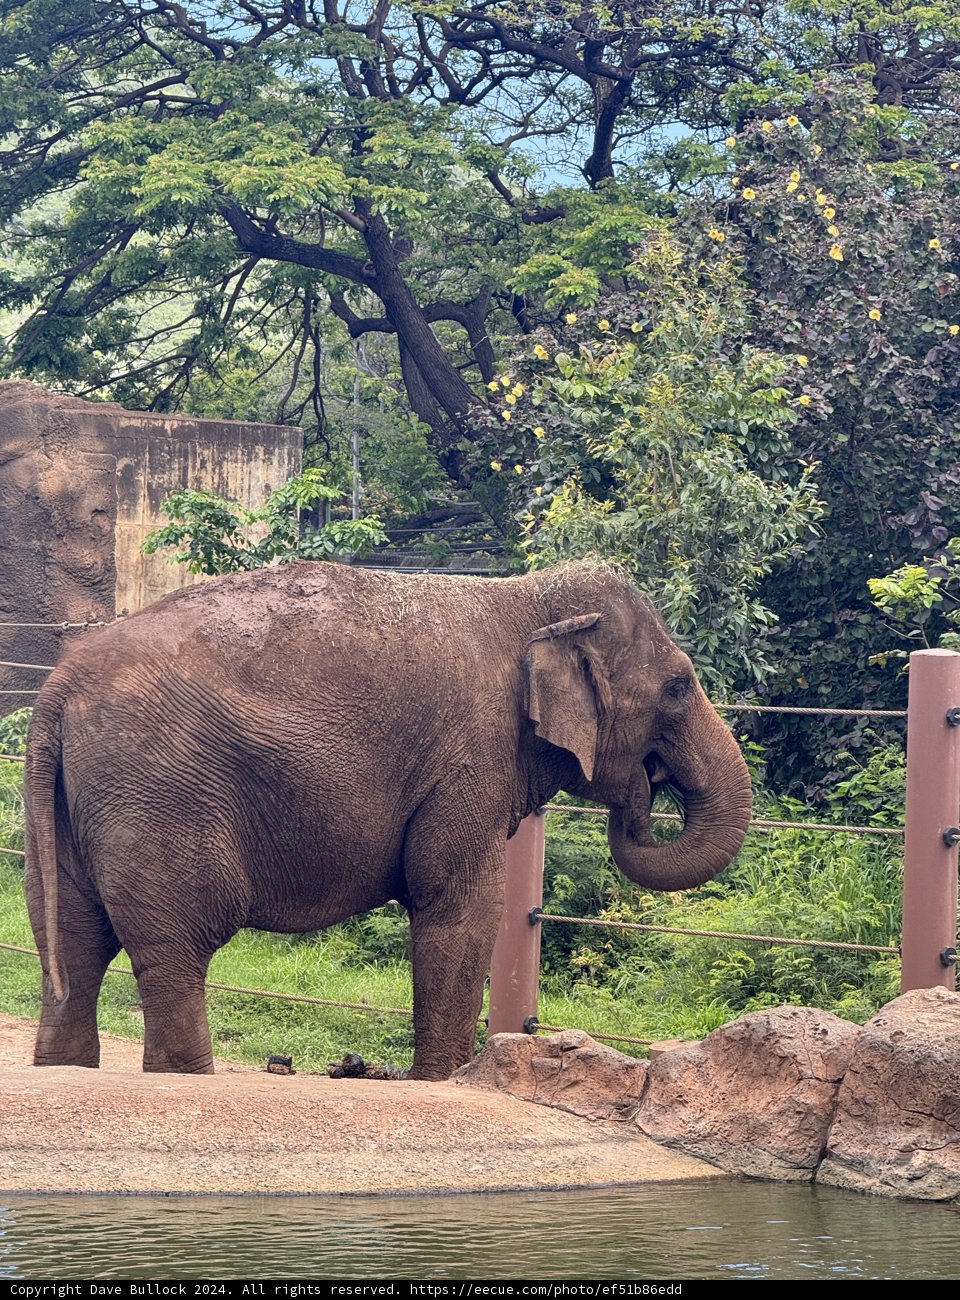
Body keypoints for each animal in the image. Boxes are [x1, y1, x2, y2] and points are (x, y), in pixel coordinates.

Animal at [23, 559, 752, 1079]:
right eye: (678, 688)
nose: (647, 788)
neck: (526, 599)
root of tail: (58, 689)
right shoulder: (471, 756)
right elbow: (461, 905)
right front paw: (444, 1083)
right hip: (159, 791)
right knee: (175, 944)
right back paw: (184, 1077)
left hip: (69, 803)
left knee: (73, 941)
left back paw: (66, 1070)